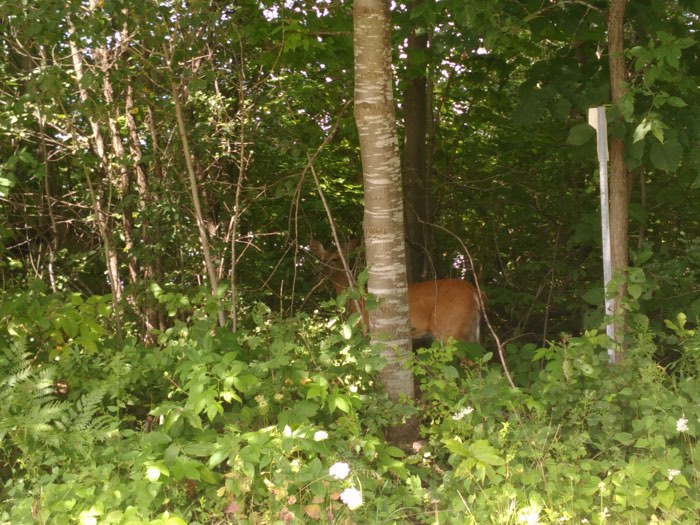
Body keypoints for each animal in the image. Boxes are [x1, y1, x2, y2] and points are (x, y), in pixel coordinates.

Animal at [308, 239, 484, 346]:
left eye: (335, 259)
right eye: (321, 257)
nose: (318, 271)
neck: (356, 299)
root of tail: (475, 292)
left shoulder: (365, 329)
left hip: (450, 328)